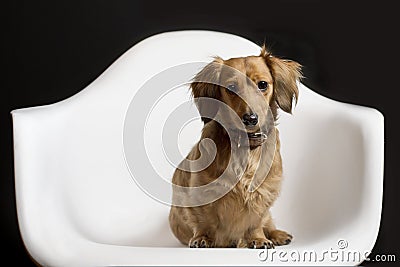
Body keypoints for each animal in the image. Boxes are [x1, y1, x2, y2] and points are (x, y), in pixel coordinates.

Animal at [167, 45, 302, 249]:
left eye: (262, 84)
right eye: (231, 87)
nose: (250, 118)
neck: (245, 147)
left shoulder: (264, 194)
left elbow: (256, 220)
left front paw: (258, 239)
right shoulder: (199, 192)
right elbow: (203, 219)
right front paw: (203, 237)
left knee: (268, 223)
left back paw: (276, 234)